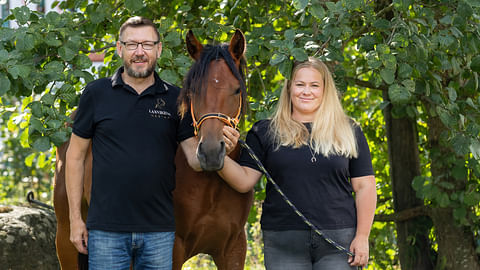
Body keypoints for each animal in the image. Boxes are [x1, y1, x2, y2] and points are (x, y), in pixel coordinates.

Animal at [52, 28, 253, 268]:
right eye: (193, 91)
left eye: (236, 90)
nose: (211, 153)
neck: (211, 186)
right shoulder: (174, 248)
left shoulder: (233, 248)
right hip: (67, 240)